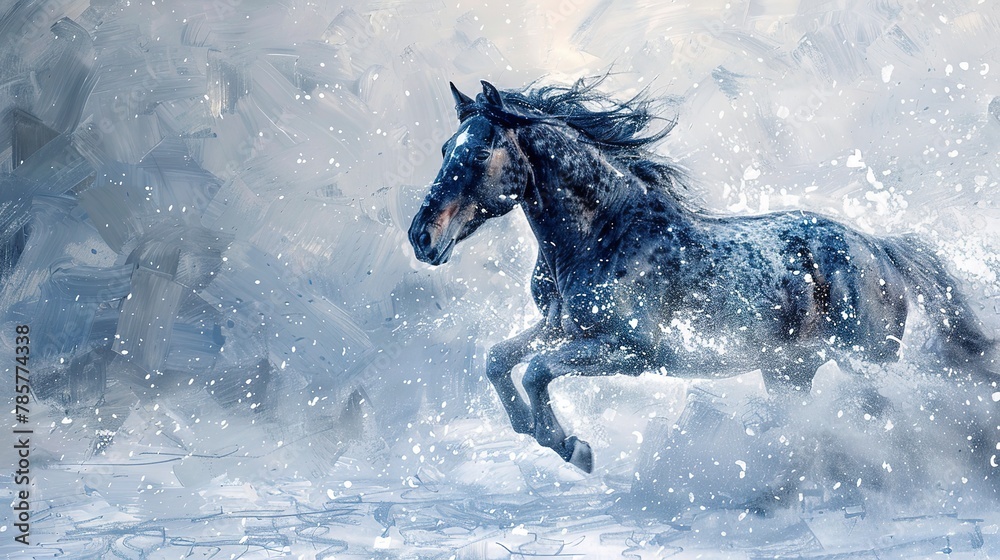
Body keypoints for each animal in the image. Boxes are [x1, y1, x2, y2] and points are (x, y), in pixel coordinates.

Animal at [407, 79, 996, 473]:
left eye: (481, 150)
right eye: (445, 149)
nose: (421, 237)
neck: (602, 234)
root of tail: (878, 247)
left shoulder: (628, 353)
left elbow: (535, 371)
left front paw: (572, 447)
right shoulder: (564, 328)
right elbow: (498, 358)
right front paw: (534, 430)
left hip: (865, 363)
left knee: (889, 419)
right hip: (789, 372)